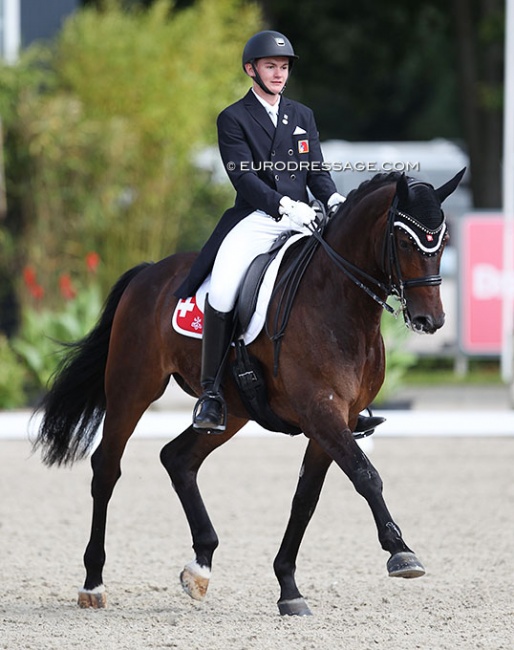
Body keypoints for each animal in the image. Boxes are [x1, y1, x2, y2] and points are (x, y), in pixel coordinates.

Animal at [34, 167, 462, 612]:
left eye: (443, 239)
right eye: (404, 240)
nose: (430, 320)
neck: (339, 302)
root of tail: (150, 271)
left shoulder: (335, 419)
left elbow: (305, 499)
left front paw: (288, 587)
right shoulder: (321, 412)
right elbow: (365, 475)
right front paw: (401, 552)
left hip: (234, 411)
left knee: (178, 458)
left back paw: (199, 568)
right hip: (132, 387)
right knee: (107, 467)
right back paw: (93, 583)